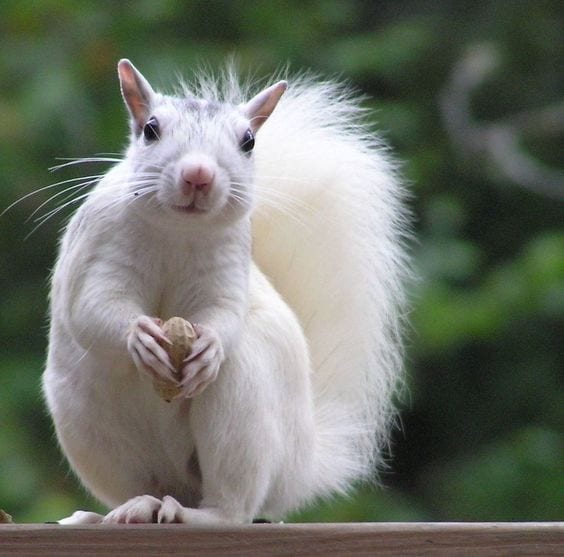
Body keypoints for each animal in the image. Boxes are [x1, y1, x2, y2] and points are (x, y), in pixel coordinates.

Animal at [40, 60, 410, 524]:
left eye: (248, 141)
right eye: (151, 129)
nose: (198, 174)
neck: (178, 232)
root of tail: (302, 463)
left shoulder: (229, 267)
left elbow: (227, 312)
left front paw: (211, 344)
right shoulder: (99, 250)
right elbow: (92, 307)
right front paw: (139, 336)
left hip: (241, 407)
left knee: (233, 506)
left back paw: (195, 514)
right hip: (91, 424)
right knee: (144, 484)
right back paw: (123, 510)